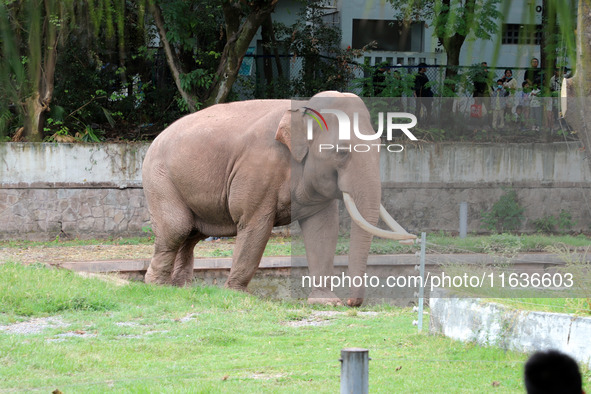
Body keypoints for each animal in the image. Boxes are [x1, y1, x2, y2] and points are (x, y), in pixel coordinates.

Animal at [142, 91, 416, 306]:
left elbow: (323, 230)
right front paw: (238, 295)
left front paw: (327, 301)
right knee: (177, 229)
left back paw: (181, 288)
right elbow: (255, 225)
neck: (303, 108)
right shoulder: (258, 168)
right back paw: (156, 287)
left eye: (379, 147)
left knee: (191, 234)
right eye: (341, 151)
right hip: (159, 180)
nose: (351, 303)